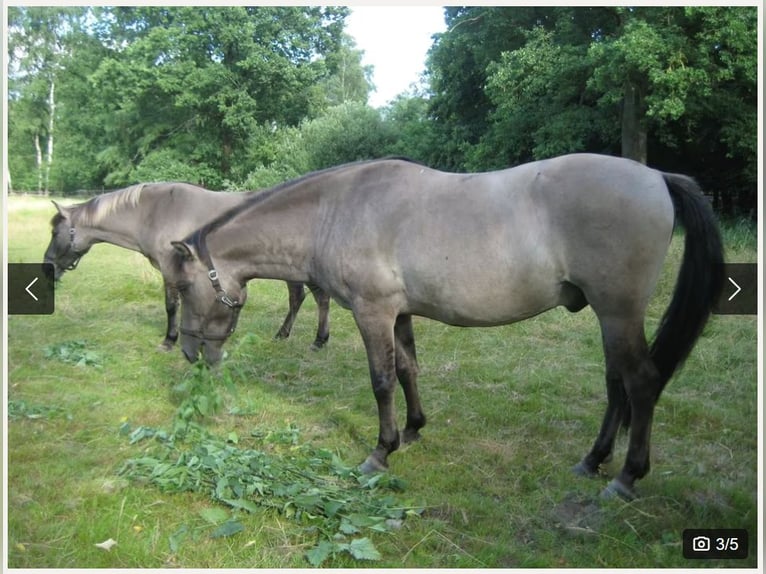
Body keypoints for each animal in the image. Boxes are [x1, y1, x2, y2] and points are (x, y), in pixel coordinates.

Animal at [43, 182, 331, 351]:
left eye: (55, 232)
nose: (47, 266)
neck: (155, 212)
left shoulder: (170, 269)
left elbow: (171, 306)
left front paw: (170, 340)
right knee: (303, 298)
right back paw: (290, 335)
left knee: (316, 299)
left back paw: (316, 339)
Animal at [167, 154, 723, 499]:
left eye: (186, 287)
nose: (191, 353)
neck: (336, 211)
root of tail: (656, 176)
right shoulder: (399, 313)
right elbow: (409, 370)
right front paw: (413, 430)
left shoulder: (372, 312)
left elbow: (381, 381)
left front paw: (380, 452)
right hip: (609, 318)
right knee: (616, 386)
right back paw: (593, 460)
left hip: (618, 312)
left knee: (641, 384)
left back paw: (626, 477)